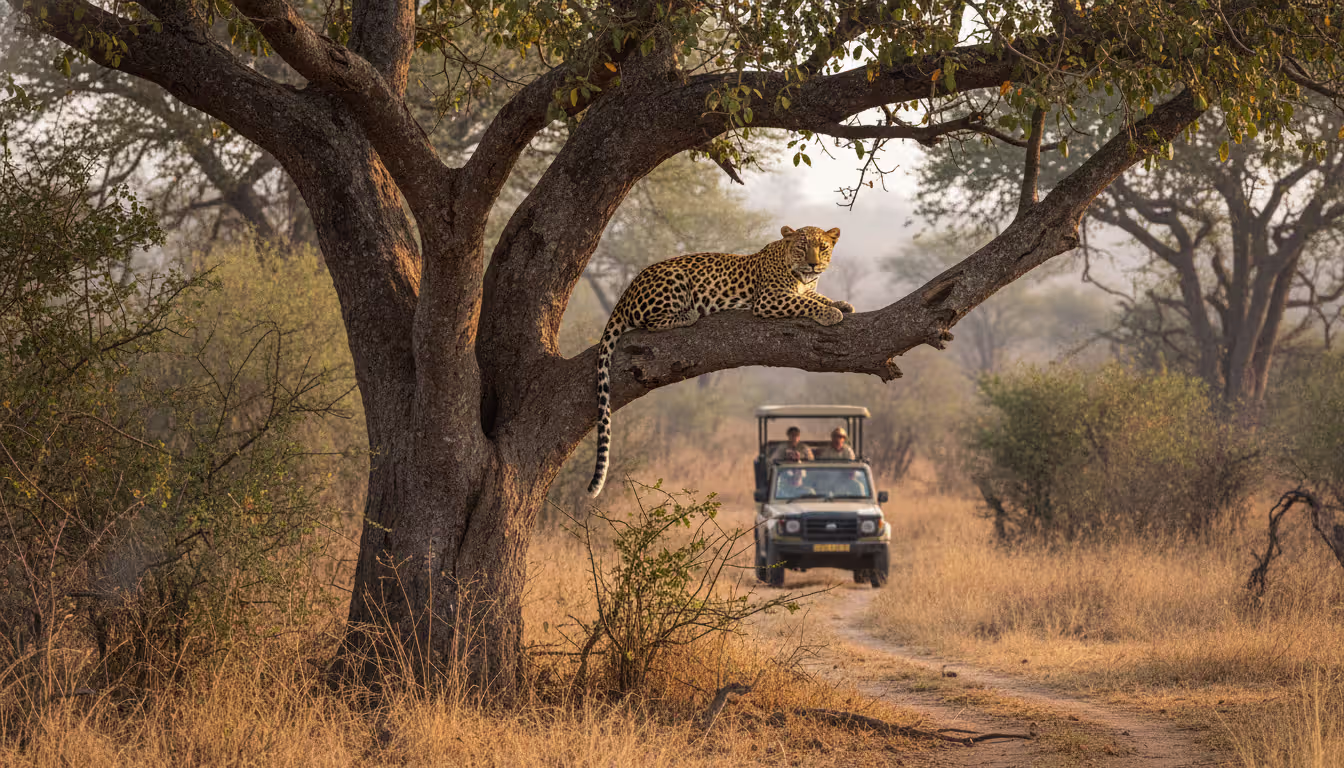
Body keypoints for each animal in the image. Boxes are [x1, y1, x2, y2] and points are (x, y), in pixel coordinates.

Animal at [587, 225, 854, 496]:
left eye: (823, 247)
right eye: (802, 247)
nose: (813, 264)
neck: (799, 274)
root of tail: (626, 293)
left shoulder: (803, 289)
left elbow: (816, 296)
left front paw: (840, 303)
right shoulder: (770, 298)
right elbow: (806, 302)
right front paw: (831, 313)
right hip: (674, 278)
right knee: (652, 322)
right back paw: (690, 314)